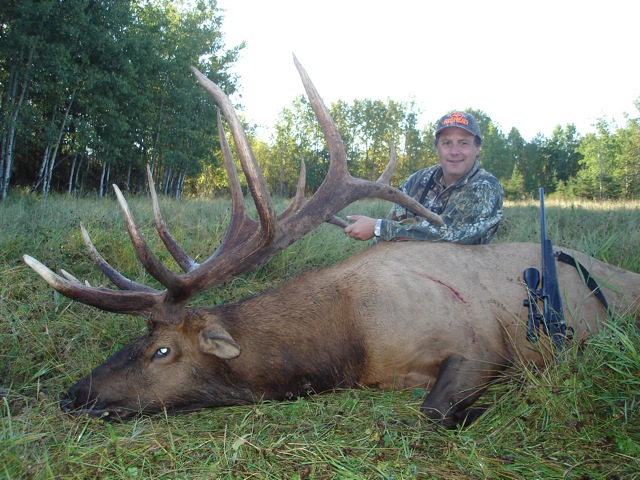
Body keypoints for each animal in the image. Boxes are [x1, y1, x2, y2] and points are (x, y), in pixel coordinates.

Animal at [23, 56, 640, 428]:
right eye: (140, 337)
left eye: (162, 350)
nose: (73, 395)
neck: (348, 343)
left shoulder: (480, 342)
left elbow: (434, 410)